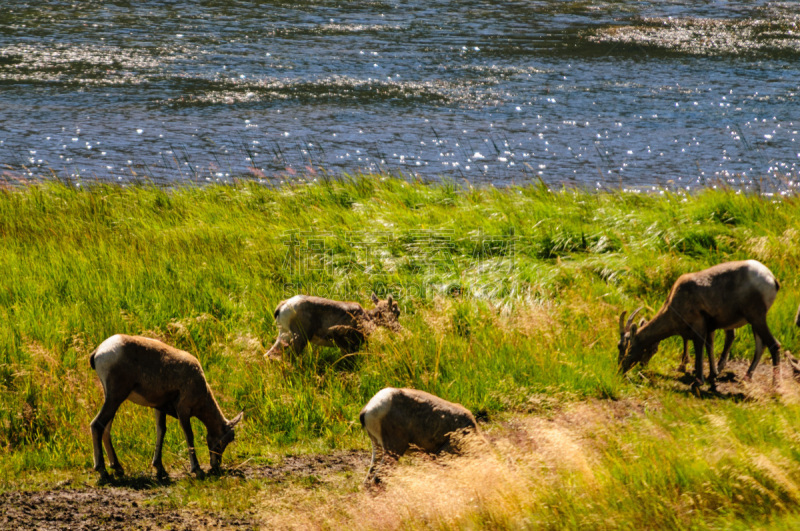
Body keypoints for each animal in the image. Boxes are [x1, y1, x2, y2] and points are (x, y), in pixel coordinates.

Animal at [88, 336, 242, 482]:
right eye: (227, 439)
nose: (215, 465)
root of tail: (99, 351)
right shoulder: (183, 409)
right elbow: (189, 435)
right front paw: (197, 470)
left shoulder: (159, 408)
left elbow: (161, 431)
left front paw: (160, 469)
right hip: (116, 397)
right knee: (97, 425)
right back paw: (103, 471)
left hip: (112, 399)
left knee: (106, 428)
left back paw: (118, 468)